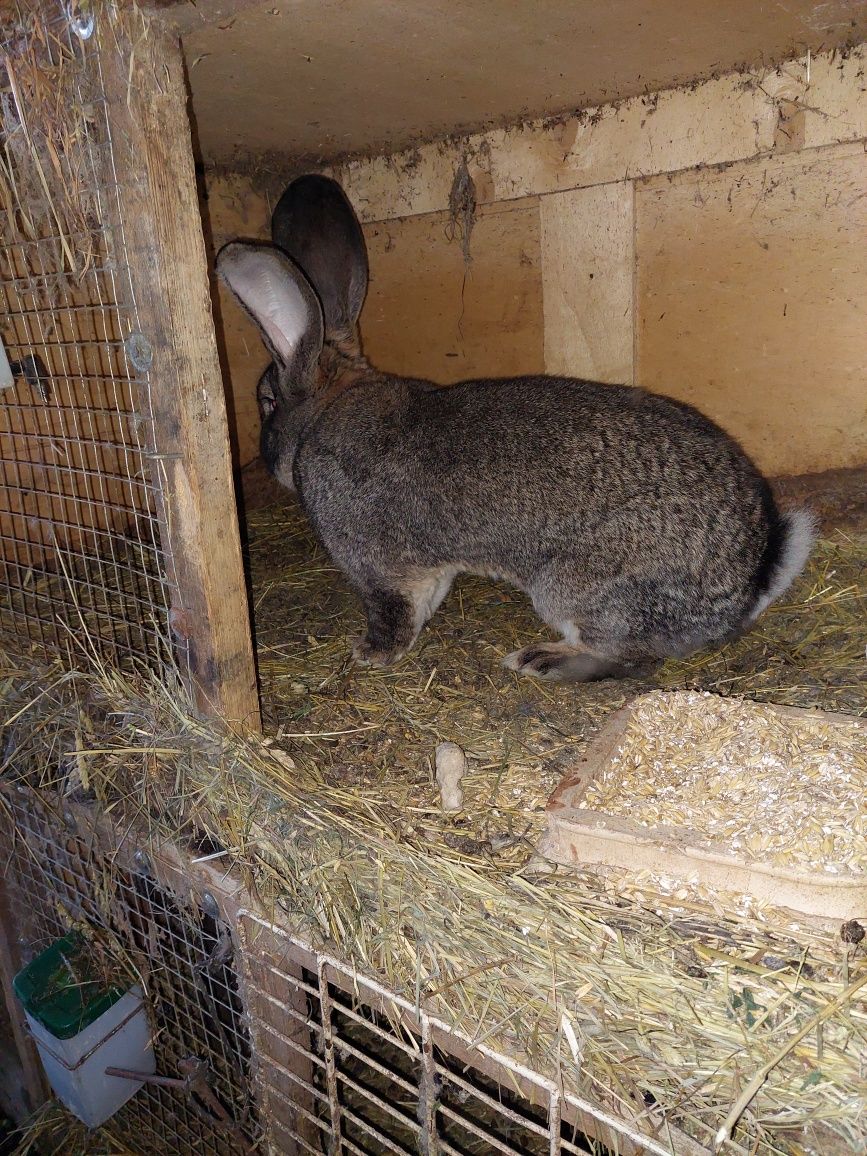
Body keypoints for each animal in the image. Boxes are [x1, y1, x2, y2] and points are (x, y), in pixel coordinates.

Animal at [216, 171, 813, 675]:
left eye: (264, 401)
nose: (264, 458)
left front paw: (370, 653)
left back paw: (543, 659)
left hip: (572, 585)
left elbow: (392, 612)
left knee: (630, 657)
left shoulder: (375, 565)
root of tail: (749, 579)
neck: (328, 408)